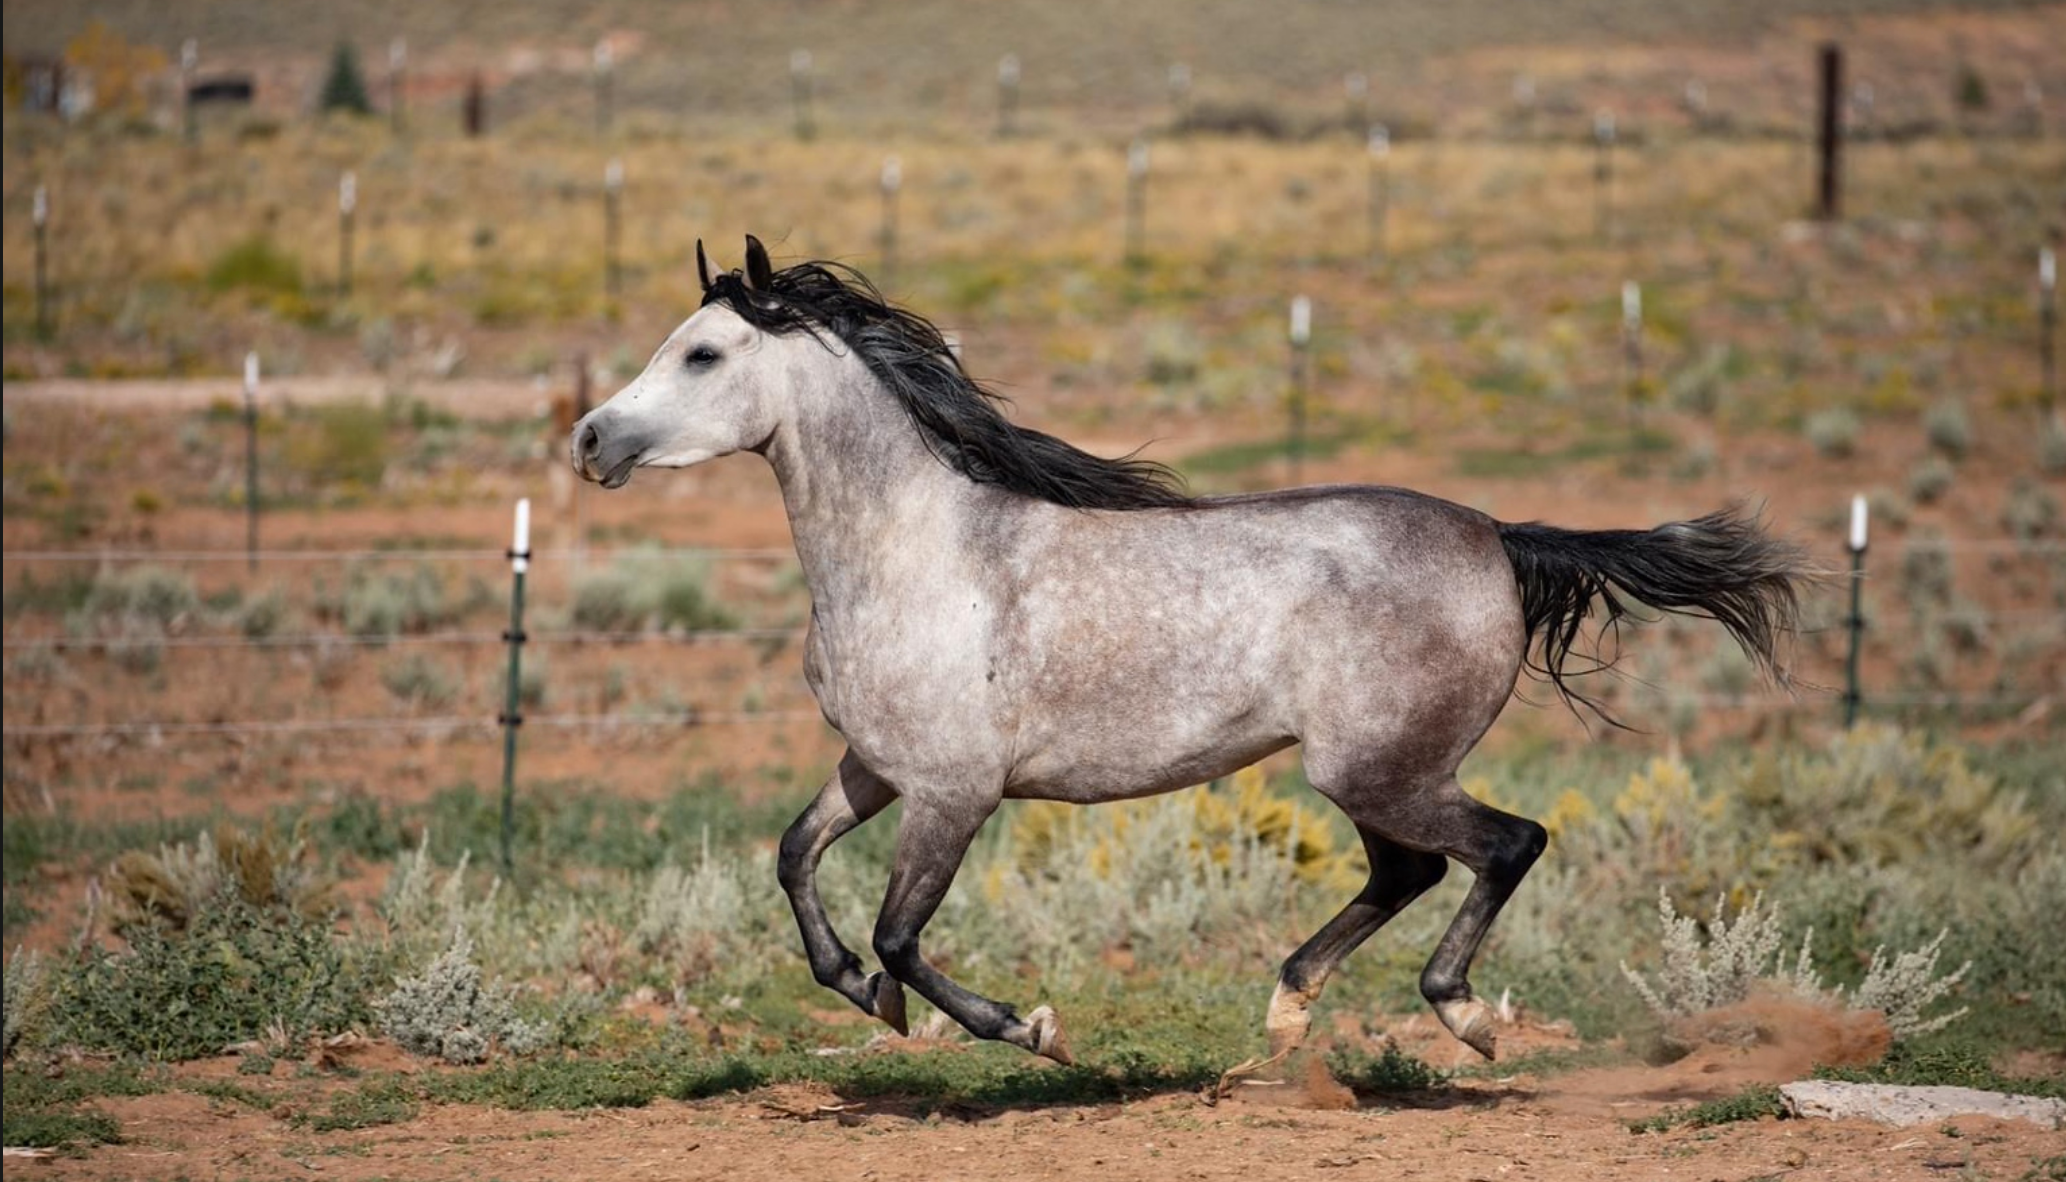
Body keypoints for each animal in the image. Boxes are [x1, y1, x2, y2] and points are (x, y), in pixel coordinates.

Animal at [571, 235, 1807, 1078]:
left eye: (701, 352)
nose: (588, 439)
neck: (914, 551)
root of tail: (1495, 535)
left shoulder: (954, 791)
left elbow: (901, 934)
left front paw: (1027, 1026)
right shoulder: (879, 768)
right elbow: (795, 858)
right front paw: (860, 993)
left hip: (1380, 769)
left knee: (1506, 846)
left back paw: (1458, 1016)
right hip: (1374, 774)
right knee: (1405, 871)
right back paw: (1287, 1013)